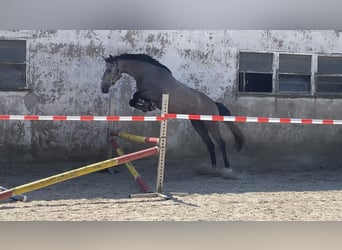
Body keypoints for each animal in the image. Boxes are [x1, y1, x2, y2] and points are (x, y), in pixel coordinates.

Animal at [100, 52, 244, 170]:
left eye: (109, 70)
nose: (103, 88)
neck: (147, 73)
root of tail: (214, 103)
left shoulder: (153, 93)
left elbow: (136, 95)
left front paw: (146, 106)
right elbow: (133, 99)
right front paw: (146, 106)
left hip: (211, 124)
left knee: (221, 143)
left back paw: (226, 167)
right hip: (198, 124)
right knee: (210, 144)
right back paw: (213, 167)